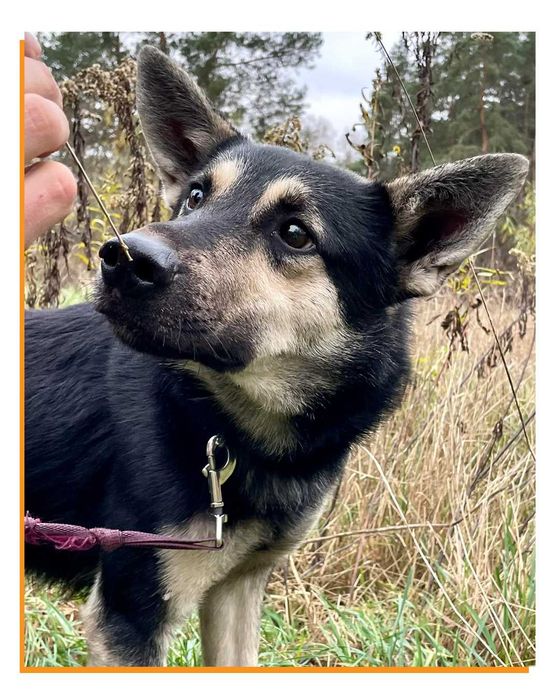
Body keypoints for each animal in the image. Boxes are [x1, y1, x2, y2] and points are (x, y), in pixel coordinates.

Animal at [24, 45, 529, 667]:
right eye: (196, 197)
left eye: (294, 233)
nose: (122, 259)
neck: (232, 430)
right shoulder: (130, 612)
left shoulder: (238, 589)